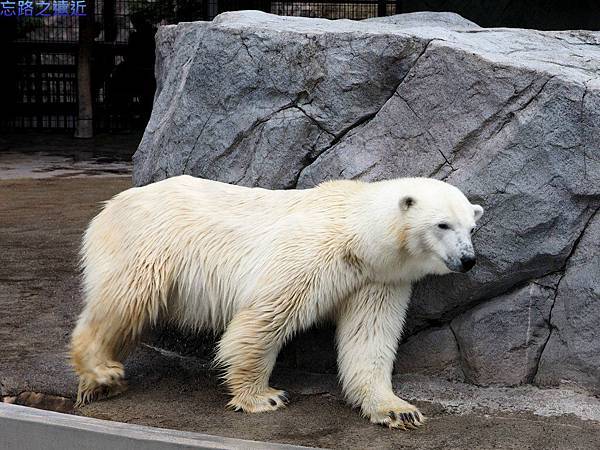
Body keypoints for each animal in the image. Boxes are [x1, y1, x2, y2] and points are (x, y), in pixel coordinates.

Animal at [71, 175, 482, 428]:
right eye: (442, 224)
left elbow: (370, 337)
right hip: (146, 245)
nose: (468, 259)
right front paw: (264, 396)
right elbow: (266, 316)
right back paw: (101, 371)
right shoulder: (312, 254)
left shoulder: (377, 280)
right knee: (123, 302)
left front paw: (398, 410)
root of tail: (109, 206)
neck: (357, 236)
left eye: (471, 227)